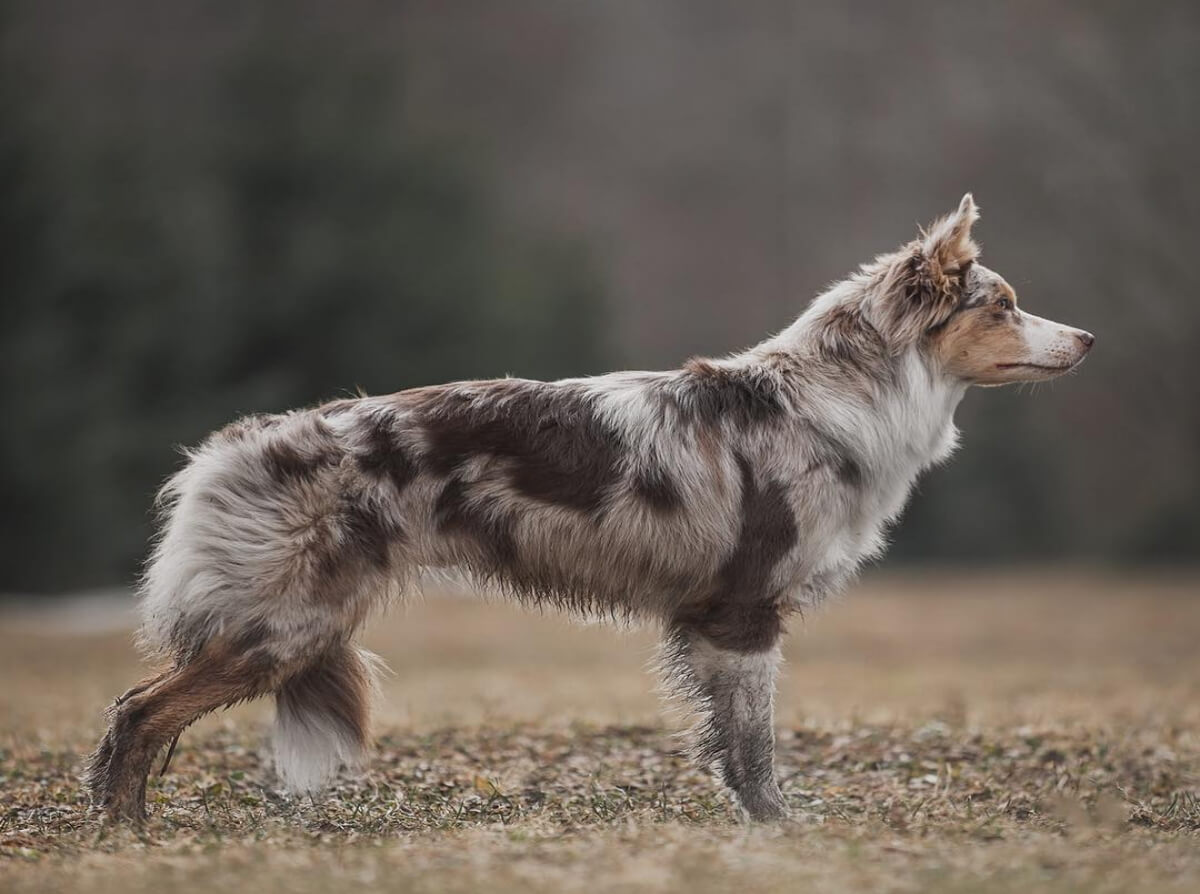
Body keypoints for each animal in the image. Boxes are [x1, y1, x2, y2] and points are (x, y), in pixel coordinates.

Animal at [84, 196, 1094, 820]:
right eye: (1004, 305)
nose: (1087, 337)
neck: (836, 400)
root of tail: (231, 444)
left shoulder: (713, 621)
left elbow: (732, 744)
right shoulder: (743, 613)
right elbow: (756, 748)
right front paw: (781, 829)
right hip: (284, 624)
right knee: (139, 714)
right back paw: (128, 838)